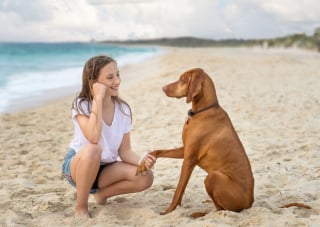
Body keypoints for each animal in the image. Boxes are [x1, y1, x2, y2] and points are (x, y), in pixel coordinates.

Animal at [136, 68, 254, 216]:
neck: (201, 111)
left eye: (182, 79)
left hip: (213, 177)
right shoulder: (185, 150)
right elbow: (157, 151)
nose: (163, 88)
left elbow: (178, 189)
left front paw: (168, 211)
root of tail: (250, 202)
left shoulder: (189, 159)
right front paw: (143, 165)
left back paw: (199, 214)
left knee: (221, 209)